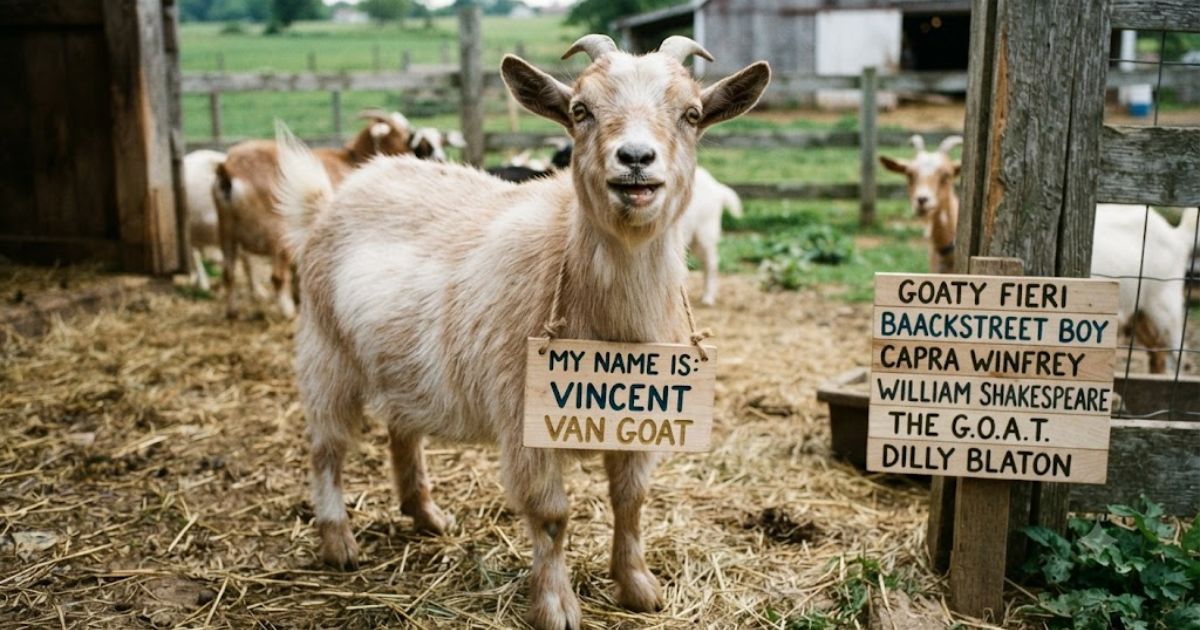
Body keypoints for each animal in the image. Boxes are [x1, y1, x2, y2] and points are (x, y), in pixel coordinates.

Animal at [212, 111, 416, 319]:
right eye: (402, 136)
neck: (350, 159)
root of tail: (229, 171)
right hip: (275, 231)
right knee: (276, 276)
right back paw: (287, 312)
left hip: (226, 231)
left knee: (228, 273)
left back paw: (232, 311)